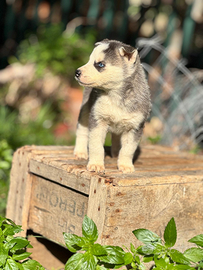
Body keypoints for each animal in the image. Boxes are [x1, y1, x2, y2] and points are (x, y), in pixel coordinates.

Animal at [73, 38, 150, 173]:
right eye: (89, 60)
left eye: (100, 65)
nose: (77, 72)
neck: (115, 95)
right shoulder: (97, 120)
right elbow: (96, 146)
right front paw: (96, 164)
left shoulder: (135, 128)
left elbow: (128, 149)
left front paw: (125, 165)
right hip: (85, 110)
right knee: (82, 131)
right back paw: (80, 152)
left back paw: (115, 153)